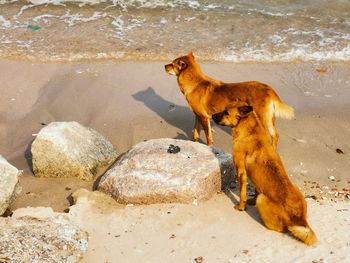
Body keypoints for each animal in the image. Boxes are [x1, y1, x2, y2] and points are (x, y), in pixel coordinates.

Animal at [164, 52, 292, 148]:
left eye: (172, 64)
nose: (164, 66)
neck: (195, 83)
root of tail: (269, 89)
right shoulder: (198, 115)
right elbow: (195, 131)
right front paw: (193, 142)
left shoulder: (204, 117)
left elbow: (208, 136)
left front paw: (209, 147)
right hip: (270, 118)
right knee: (276, 134)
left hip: (263, 118)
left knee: (272, 135)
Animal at [213, 102, 318, 246]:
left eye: (226, 113)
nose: (211, 116)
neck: (251, 129)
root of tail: (298, 219)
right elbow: (256, 189)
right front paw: (251, 200)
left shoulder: (241, 171)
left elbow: (242, 193)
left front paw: (241, 206)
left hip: (262, 200)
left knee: (282, 229)